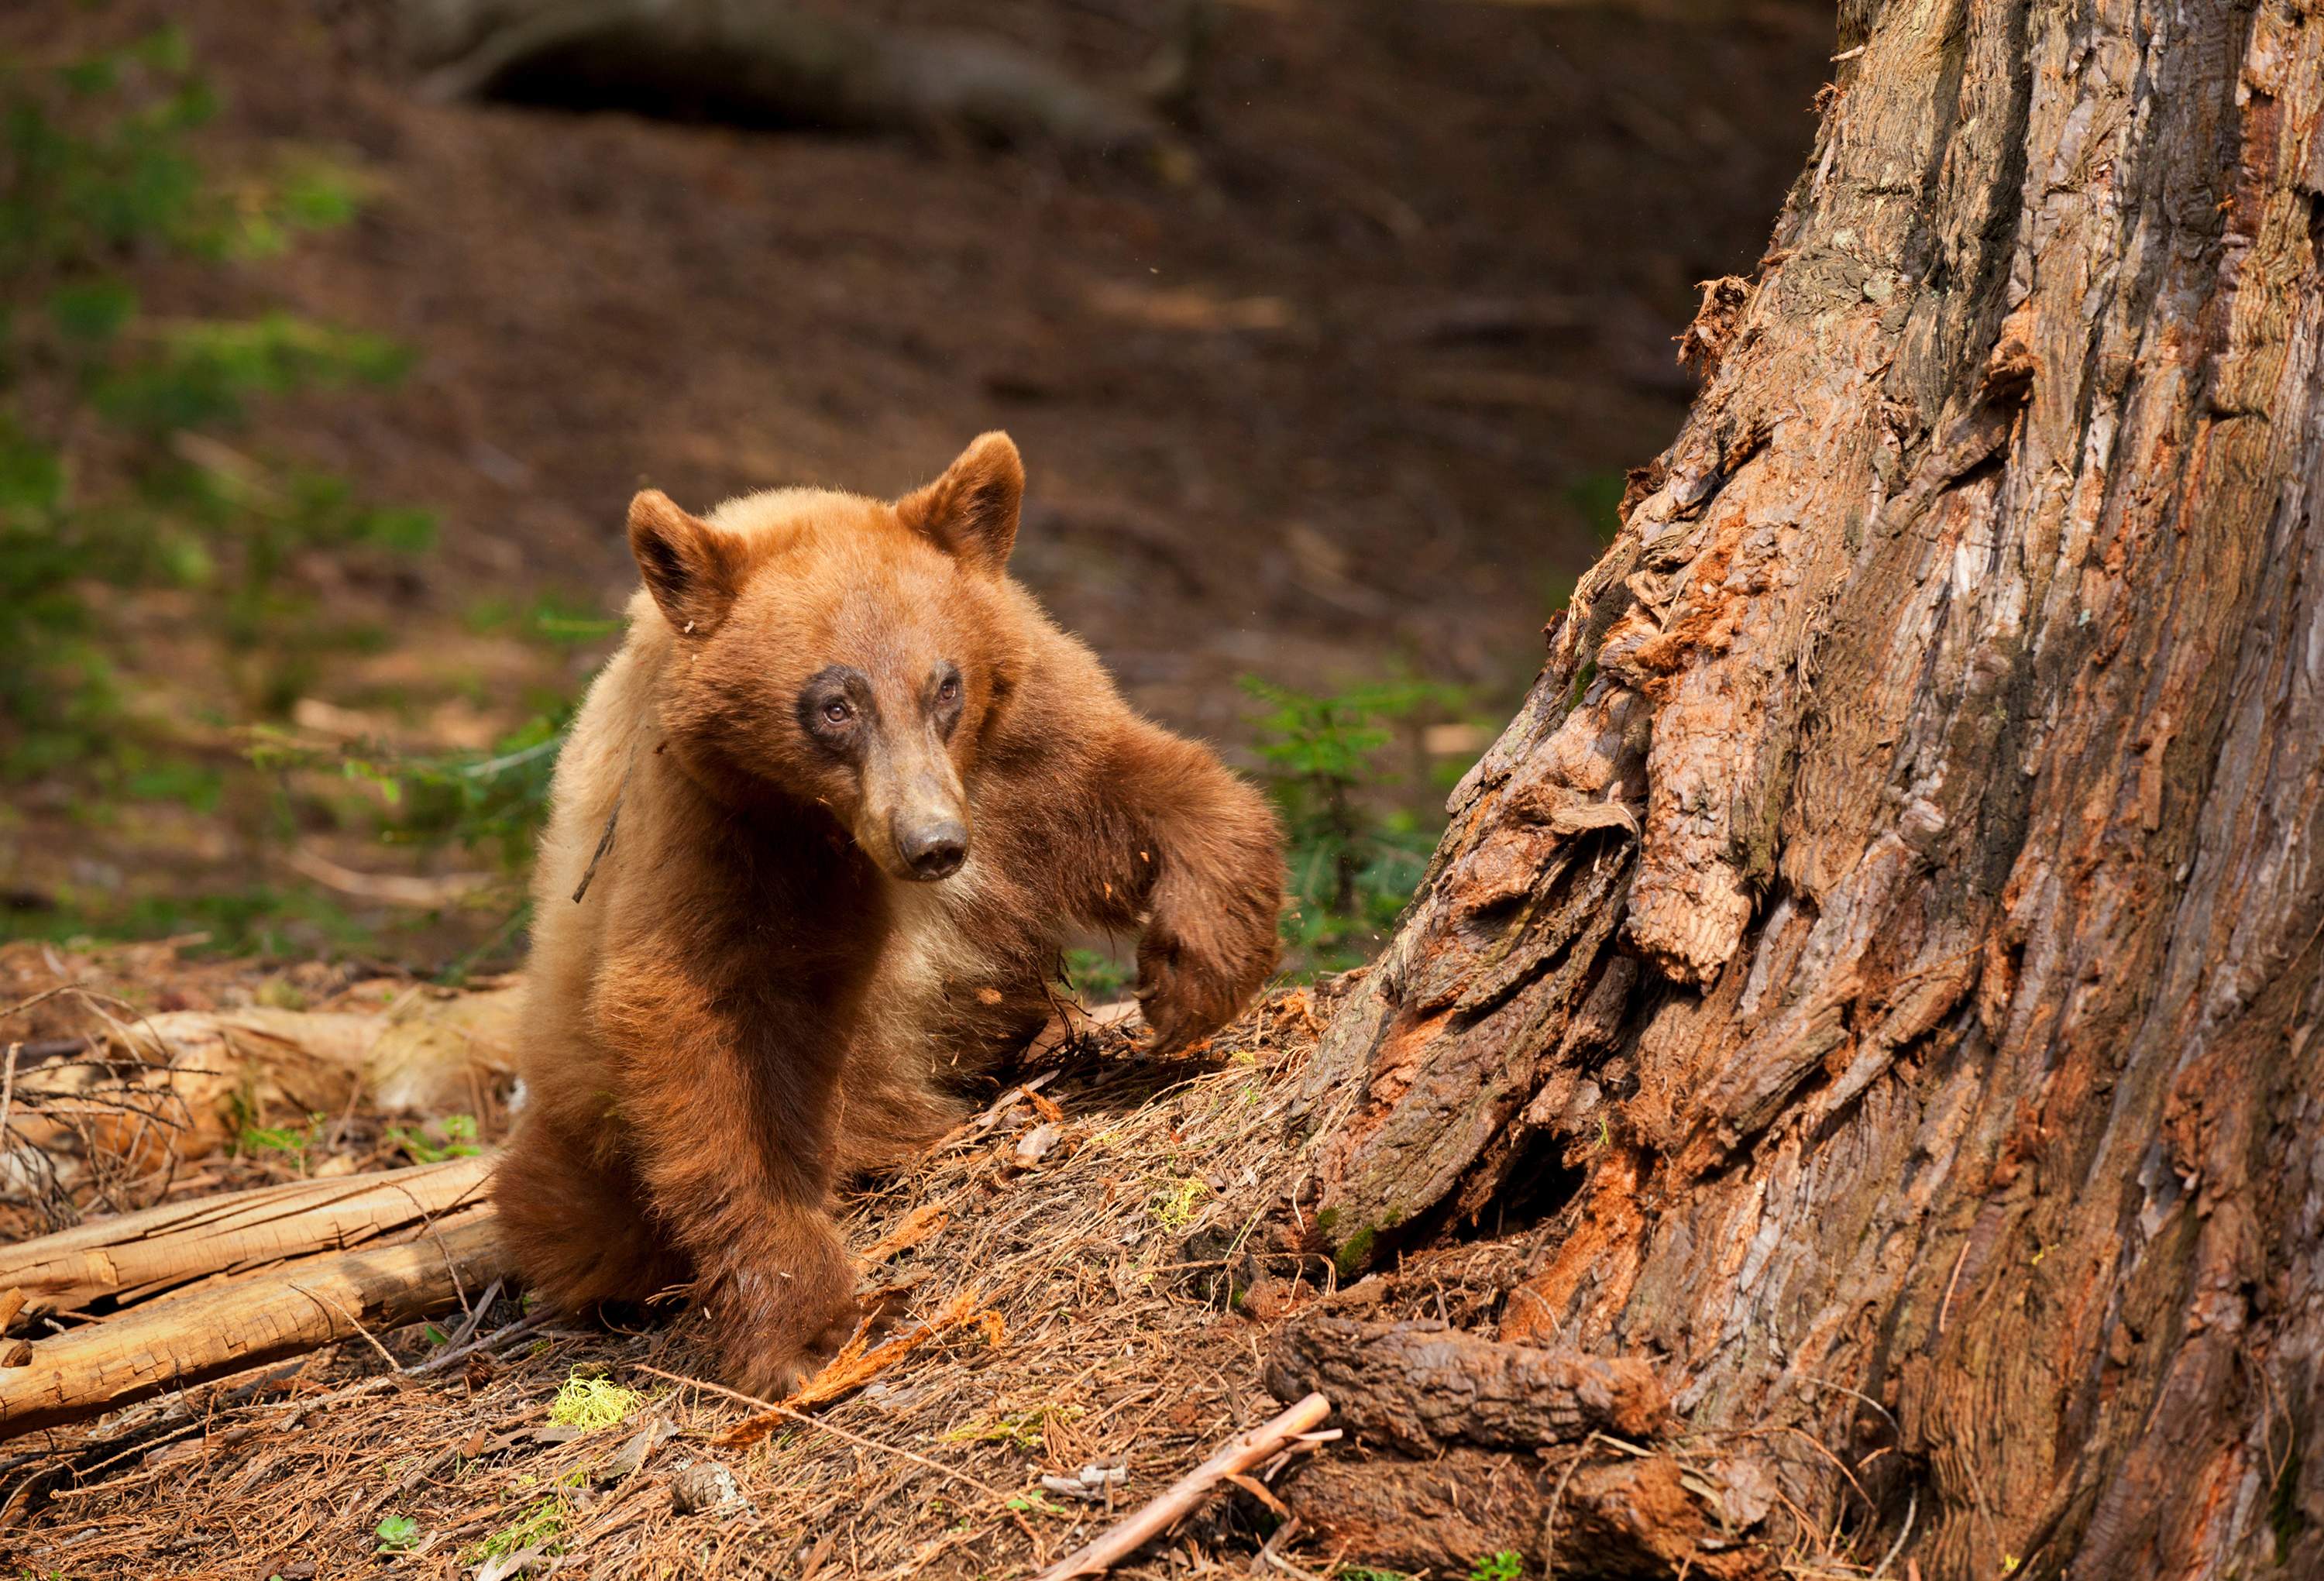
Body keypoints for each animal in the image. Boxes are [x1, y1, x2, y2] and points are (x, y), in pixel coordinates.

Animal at [495, 432, 1292, 1394]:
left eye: (944, 686)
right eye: (835, 703)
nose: (934, 844)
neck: (838, 834)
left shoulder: (1018, 746)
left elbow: (1130, 785)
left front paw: (1195, 966)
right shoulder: (712, 824)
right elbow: (699, 1019)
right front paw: (800, 1320)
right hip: (575, 1130)